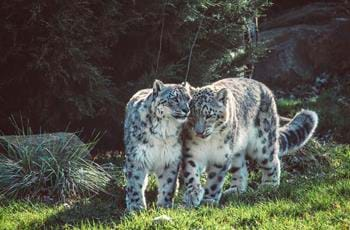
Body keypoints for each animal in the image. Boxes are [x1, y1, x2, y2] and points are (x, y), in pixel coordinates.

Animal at [124, 79, 193, 212]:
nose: (186, 109)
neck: (164, 129)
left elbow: (168, 183)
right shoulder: (137, 156)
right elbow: (135, 182)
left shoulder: (170, 157)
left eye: (188, 98)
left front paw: (164, 206)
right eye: (174, 98)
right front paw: (136, 208)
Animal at [182, 78, 318, 208]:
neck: (209, 143)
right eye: (192, 114)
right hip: (237, 151)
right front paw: (192, 196)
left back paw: (268, 185)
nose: (199, 132)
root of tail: (264, 87)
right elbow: (191, 175)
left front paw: (208, 200)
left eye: (209, 115)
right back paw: (235, 190)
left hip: (263, 145)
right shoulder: (192, 153)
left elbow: (214, 181)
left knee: (273, 162)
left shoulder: (221, 158)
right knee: (241, 169)